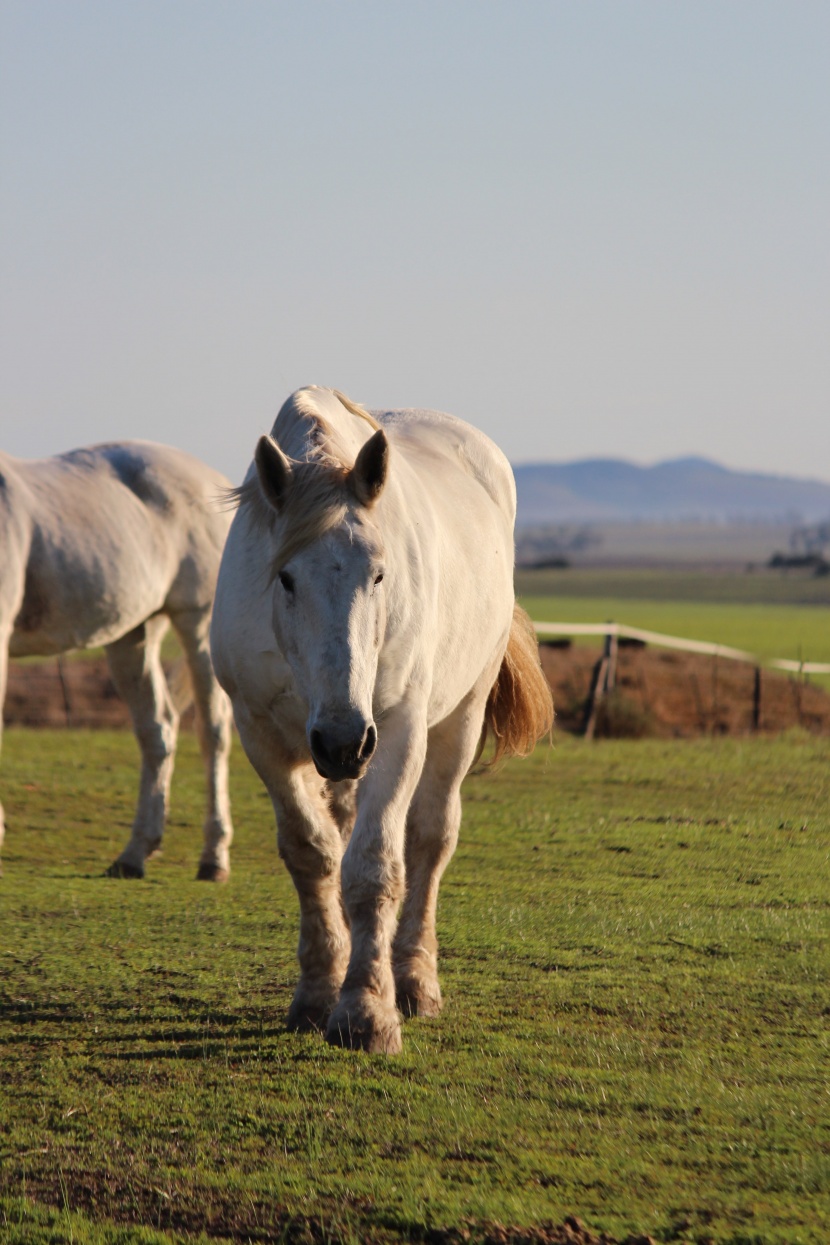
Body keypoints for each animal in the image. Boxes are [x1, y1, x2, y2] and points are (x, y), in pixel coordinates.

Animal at [0, 443, 233, 881]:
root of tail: (213, 479)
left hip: (198, 620)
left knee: (212, 732)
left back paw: (213, 859)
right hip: (134, 632)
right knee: (158, 730)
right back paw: (134, 854)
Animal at [211, 385, 554, 1050]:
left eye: (379, 573)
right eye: (285, 577)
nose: (344, 741)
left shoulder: (395, 731)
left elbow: (373, 868)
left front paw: (367, 1011)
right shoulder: (261, 733)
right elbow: (312, 853)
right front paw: (319, 992)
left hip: (458, 718)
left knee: (429, 838)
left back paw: (415, 982)